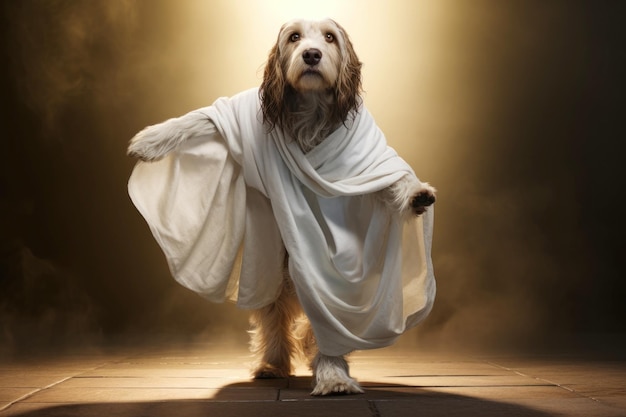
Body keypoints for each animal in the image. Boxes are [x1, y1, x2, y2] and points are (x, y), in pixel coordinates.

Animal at [124, 19, 432, 394]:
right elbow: (206, 119)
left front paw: (416, 194)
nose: (311, 55)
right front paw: (151, 139)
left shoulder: (367, 163)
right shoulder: (240, 118)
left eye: (329, 37)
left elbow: (388, 179)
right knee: (275, 315)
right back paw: (275, 362)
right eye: (294, 37)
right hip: (275, 263)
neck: (312, 113)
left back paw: (330, 370)